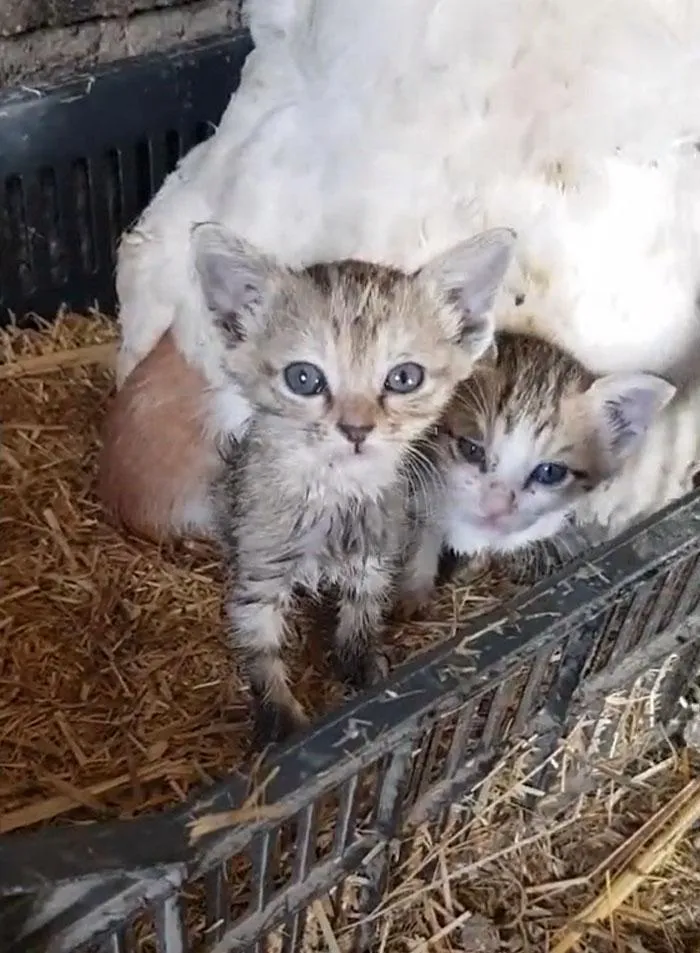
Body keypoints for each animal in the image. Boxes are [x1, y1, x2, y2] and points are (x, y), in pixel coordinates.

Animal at [191, 218, 516, 744]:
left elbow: (362, 616)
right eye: (303, 378)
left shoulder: (375, 557)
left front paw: (364, 667)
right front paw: (281, 719)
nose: (357, 429)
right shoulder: (258, 573)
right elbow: (259, 647)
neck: (335, 492)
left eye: (405, 377)